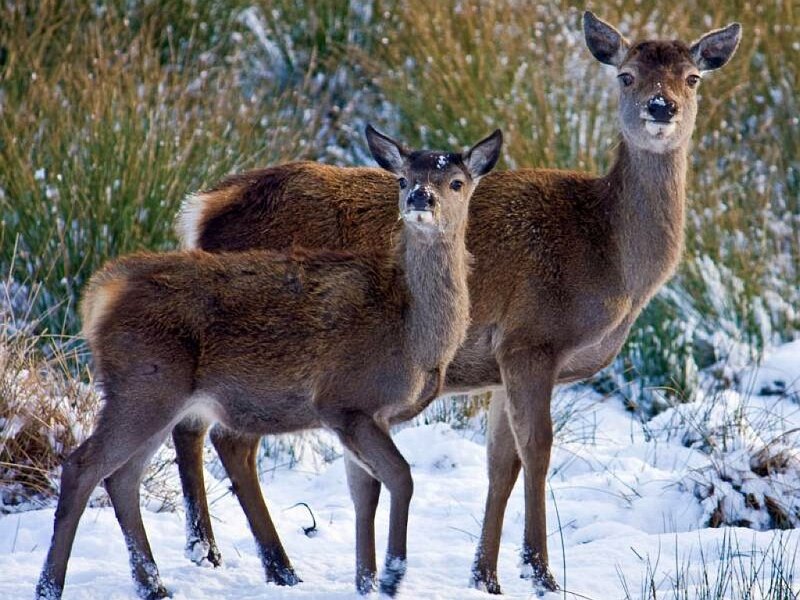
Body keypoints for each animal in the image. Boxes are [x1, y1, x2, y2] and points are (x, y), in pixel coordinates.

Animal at [34, 126, 503, 600]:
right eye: (403, 179)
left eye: (456, 182)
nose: (421, 198)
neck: (412, 331)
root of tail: (100, 293)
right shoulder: (344, 400)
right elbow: (402, 477)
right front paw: (391, 575)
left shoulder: (369, 416)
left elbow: (364, 492)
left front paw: (367, 581)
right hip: (145, 383)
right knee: (82, 466)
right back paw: (51, 586)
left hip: (158, 396)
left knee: (123, 477)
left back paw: (154, 585)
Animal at [166, 12, 742, 595]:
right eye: (626, 75)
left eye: (692, 77)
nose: (660, 107)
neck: (610, 261)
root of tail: (203, 210)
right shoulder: (532, 337)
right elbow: (538, 450)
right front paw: (540, 572)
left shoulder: (499, 364)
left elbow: (501, 463)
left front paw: (485, 575)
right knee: (229, 440)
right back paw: (272, 565)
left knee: (191, 426)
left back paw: (209, 551)